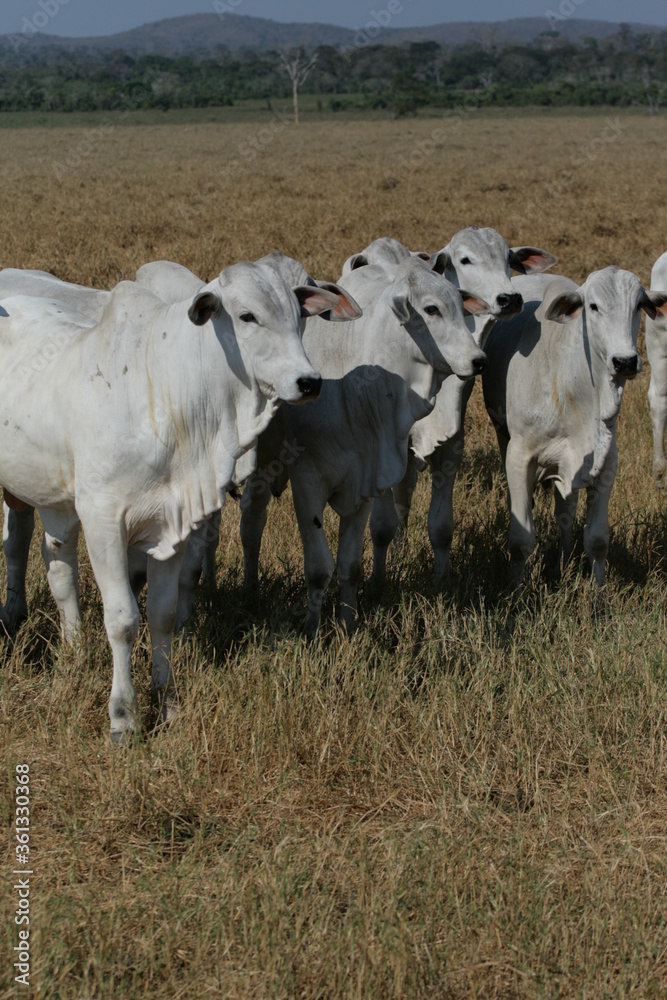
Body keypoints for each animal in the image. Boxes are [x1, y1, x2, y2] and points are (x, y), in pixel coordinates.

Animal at [0, 262, 336, 740]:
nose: (309, 382)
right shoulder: (104, 520)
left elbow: (161, 614)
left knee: (58, 566)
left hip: (56, 500)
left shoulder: (172, 523)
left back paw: (76, 652)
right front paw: (123, 717)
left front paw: (167, 704)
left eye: (297, 314)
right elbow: (123, 620)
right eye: (247, 316)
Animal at [243, 258, 488, 632]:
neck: (355, 392)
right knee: (252, 522)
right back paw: (249, 593)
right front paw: (312, 630)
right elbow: (318, 568)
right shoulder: (308, 481)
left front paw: (348, 624)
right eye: (431, 309)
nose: (479, 359)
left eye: (462, 307)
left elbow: (350, 565)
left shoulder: (365, 483)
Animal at [366, 227, 560, 584]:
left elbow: (440, 525)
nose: (509, 299)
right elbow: (382, 524)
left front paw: (443, 580)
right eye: (465, 259)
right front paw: (378, 579)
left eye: (508, 257)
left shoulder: (451, 445)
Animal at [482, 270, 664, 588]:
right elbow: (520, 538)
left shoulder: (605, 462)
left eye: (640, 305)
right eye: (593, 306)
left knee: (564, 512)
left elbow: (597, 540)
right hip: (503, 436)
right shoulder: (519, 456)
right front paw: (516, 592)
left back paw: (561, 565)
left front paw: (599, 596)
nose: (625, 361)